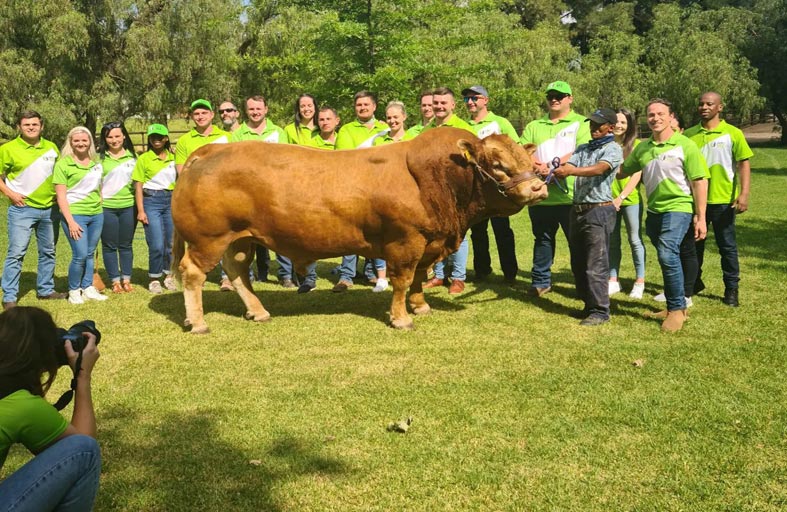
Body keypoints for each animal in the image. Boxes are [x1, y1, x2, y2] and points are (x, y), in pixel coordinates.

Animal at [171, 128, 548, 332]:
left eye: (527, 161)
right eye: (498, 165)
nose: (538, 188)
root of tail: (210, 150)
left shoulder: (429, 241)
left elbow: (419, 277)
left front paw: (420, 306)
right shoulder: (405, 241)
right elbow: (401, 279)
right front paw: (401, 318)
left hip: (241, 238)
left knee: (236, 272)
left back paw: (258, 311)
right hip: (209, 239)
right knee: (193, 273)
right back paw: (198, 322)